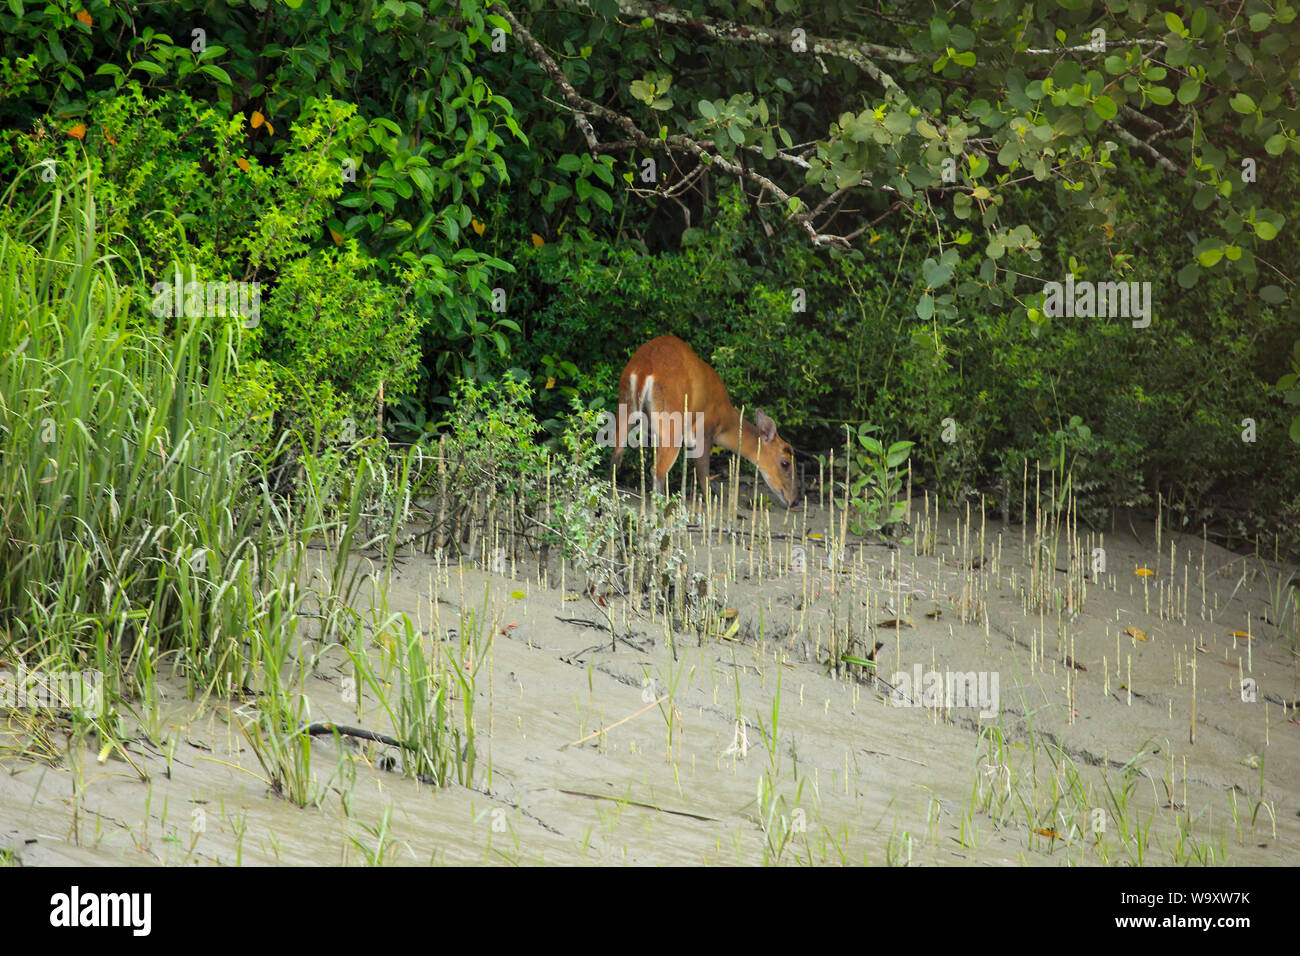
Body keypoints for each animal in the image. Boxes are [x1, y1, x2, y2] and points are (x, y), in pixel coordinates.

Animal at [611, 332, 800, 509]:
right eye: (785, 463)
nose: (795, 500)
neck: (725, 420)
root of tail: (644, 370)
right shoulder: (704, 430)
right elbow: (703, 472)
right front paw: (711, 498)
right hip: (672, 421)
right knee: (658, 469)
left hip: (625, 404)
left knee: (616, 455)